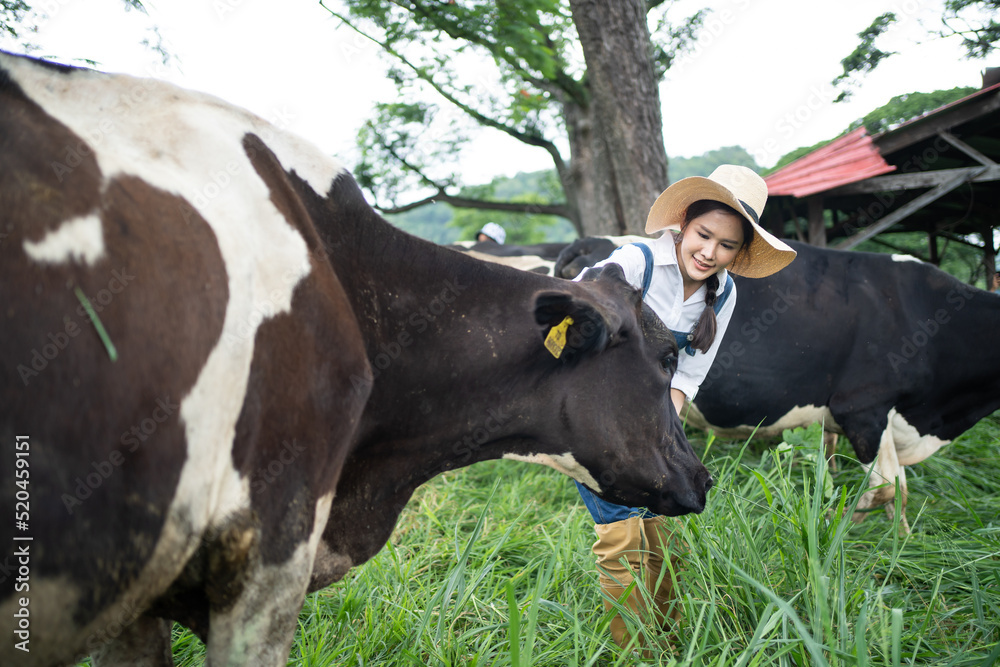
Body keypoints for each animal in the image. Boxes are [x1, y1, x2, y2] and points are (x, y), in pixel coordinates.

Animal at [556, 235, 1000, 532]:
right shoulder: (862, 408)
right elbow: (887, 489)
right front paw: (839, 520)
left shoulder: (882, 419)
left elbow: (898, 492)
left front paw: (899, 546)